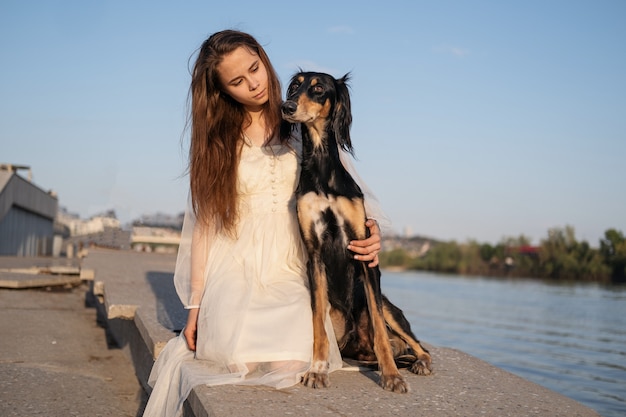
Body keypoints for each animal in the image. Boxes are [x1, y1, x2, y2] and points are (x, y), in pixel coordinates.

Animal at [280, 72, 432, 394]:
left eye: (318, 88)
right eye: (294, 86)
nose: (287, 106)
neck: (322, 169)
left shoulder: (363, 248)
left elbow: (379, 329)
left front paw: (392, 376)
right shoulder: (314, 254)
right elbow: (317, 325)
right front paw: (317, 370)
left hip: (389, 309)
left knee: (413, 344)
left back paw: (418, 362)